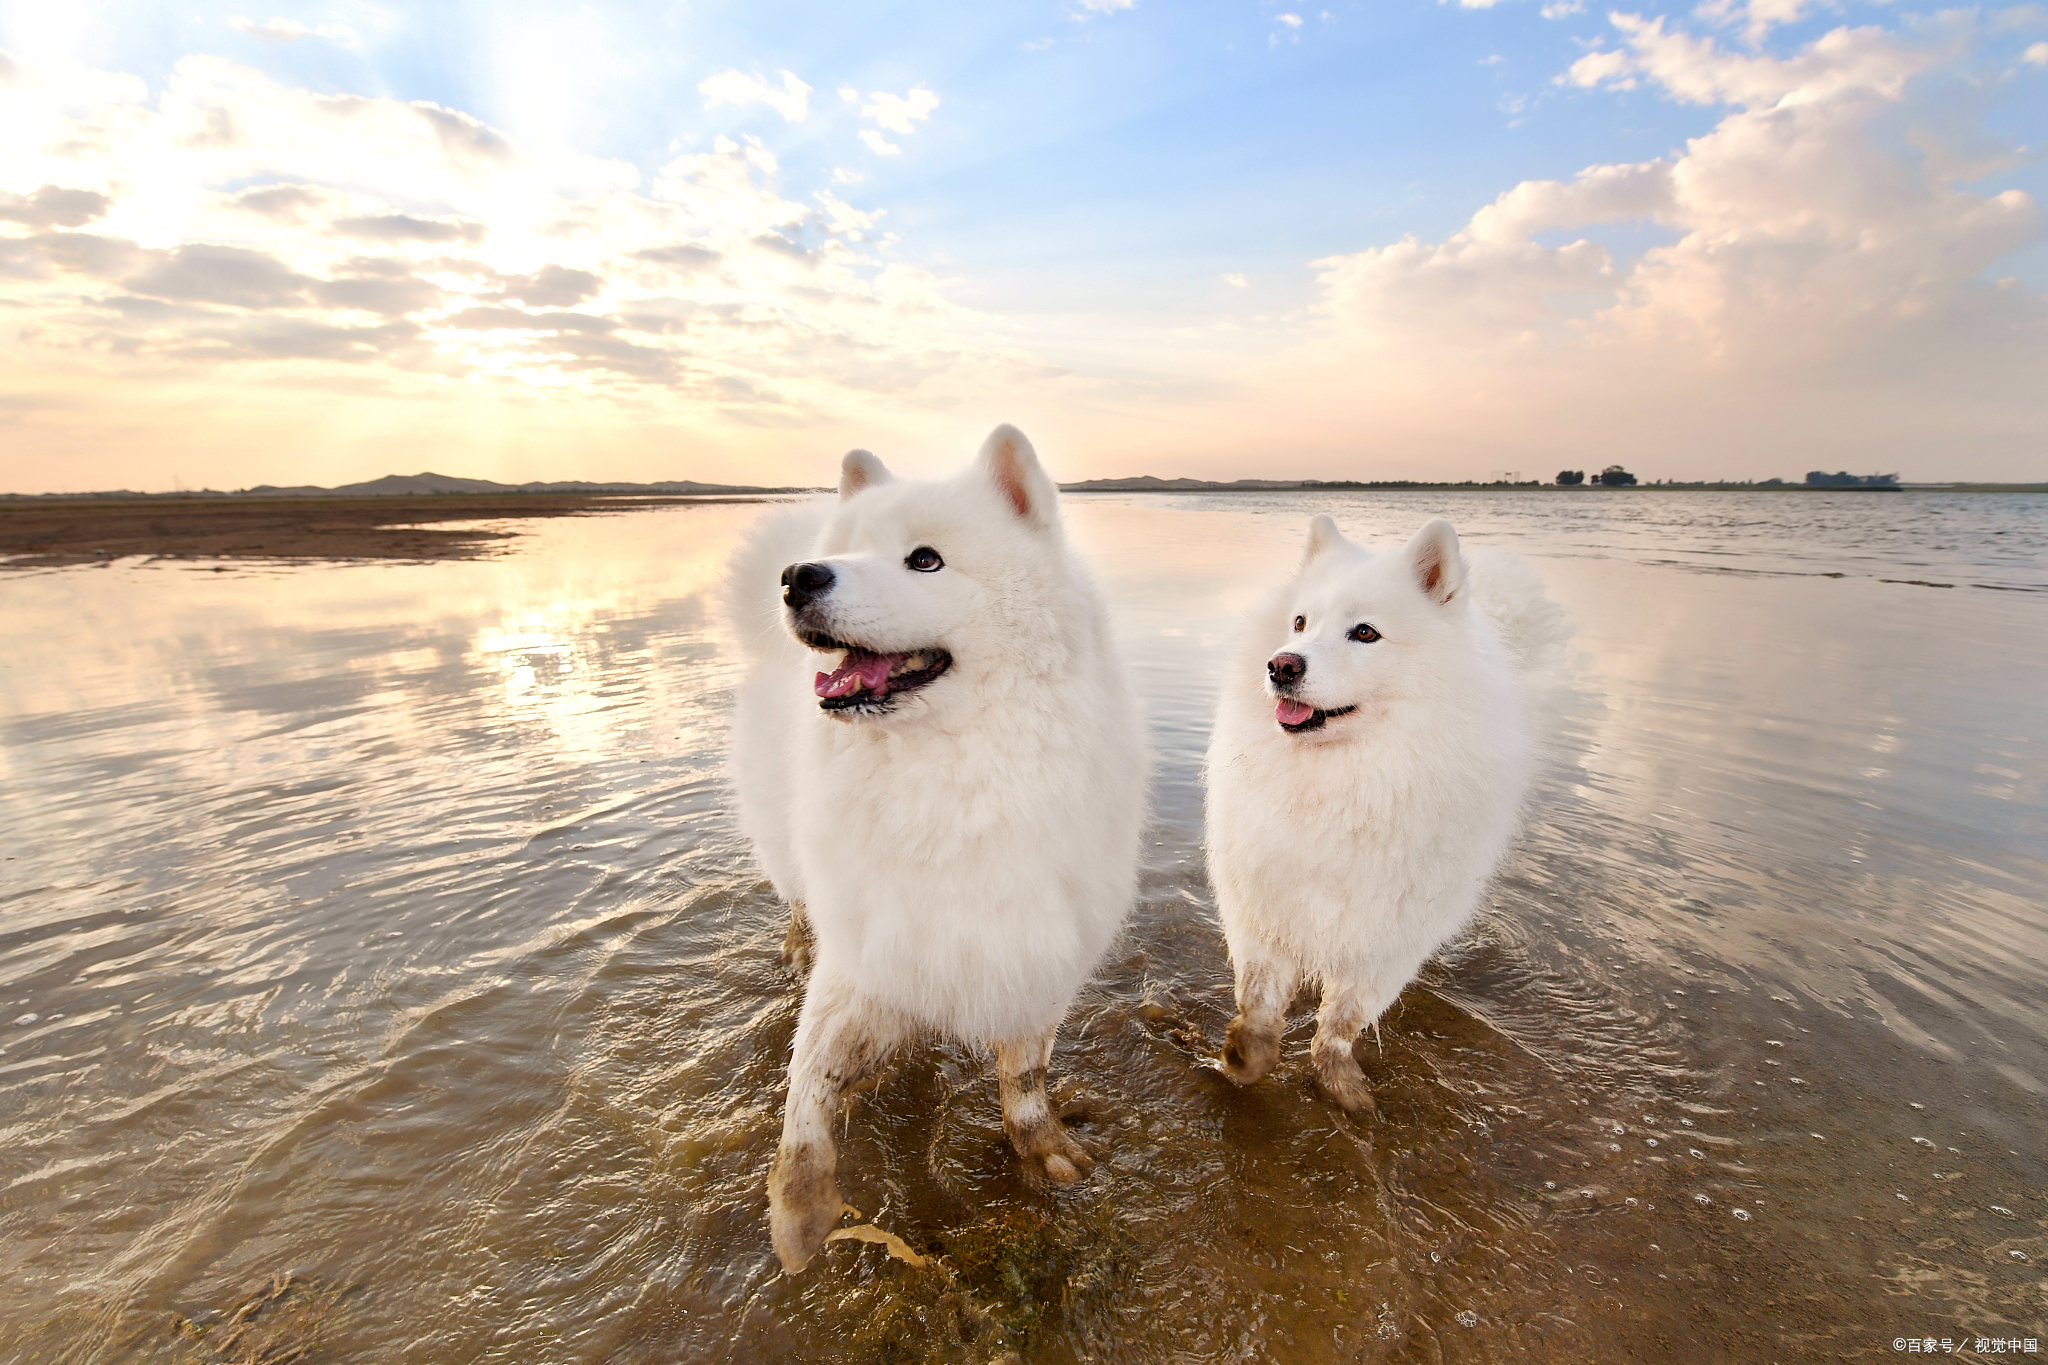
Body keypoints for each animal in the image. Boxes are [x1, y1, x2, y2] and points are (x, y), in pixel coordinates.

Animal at [720, 423, 1146, 1268]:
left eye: (925, 560)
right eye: (848, 550)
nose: (799, 576)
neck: (950, 779)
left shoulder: (1031, 954)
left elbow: (1025, 1080)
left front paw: (1041, 1146)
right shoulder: (863, 947)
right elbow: (806, 1088)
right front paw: (799, 1214)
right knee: (797, 906)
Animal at [1196, 511, 1548, 1113]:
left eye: (1365, 633)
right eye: (1299, 622)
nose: (1281, 664)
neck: (1343, 780)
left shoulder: (1387, 938)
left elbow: (1343, 1020)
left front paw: (1341, 1084)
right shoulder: (1263, 908)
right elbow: (1260, 1001)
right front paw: (1245, 1056)